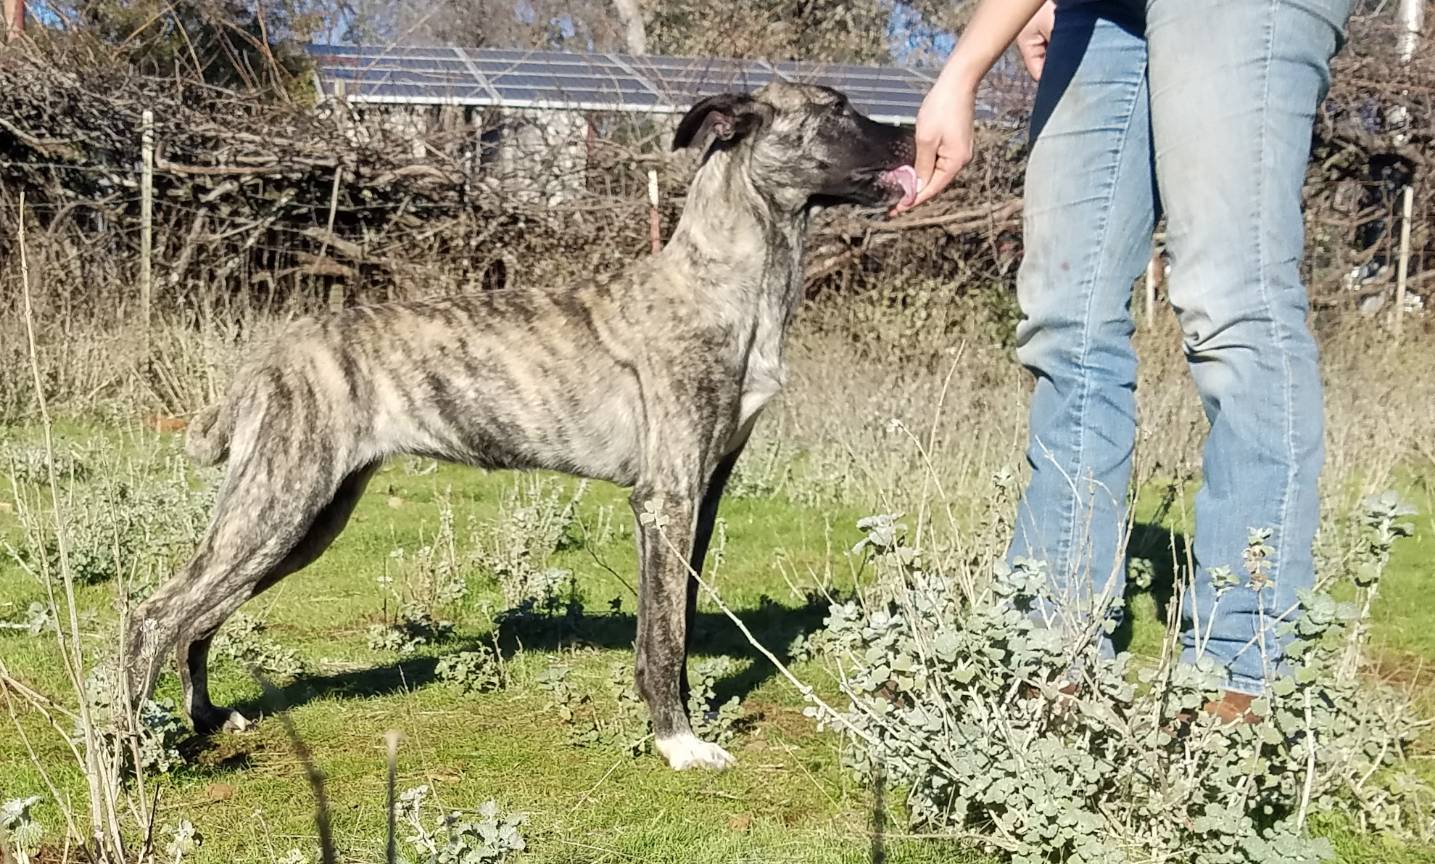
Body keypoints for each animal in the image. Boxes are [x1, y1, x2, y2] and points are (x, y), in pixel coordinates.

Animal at [125, 81, 918, 771]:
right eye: (836, 108)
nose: (916, 133)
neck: (720, 283)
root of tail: (267, 354)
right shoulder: (667, 499)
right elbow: (662, 637)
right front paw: (678, 743)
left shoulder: (705, 492)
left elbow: (683, 619)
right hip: (280, 504)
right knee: (155, 614)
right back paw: (135, 750)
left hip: (304, 519)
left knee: (197, 616)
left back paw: (205, 718)